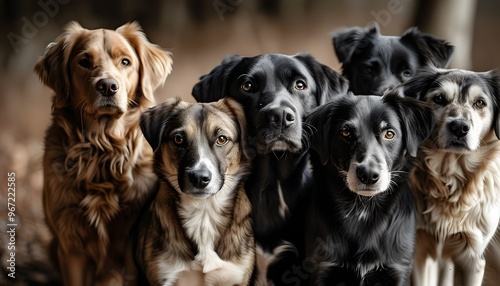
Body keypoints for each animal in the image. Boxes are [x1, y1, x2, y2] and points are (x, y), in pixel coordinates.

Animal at [302, 92, 436, 284]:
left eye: (389, 134)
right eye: (345, 132)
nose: (368, 174)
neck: (364, 209)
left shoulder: (398, 269)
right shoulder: (322, 268)